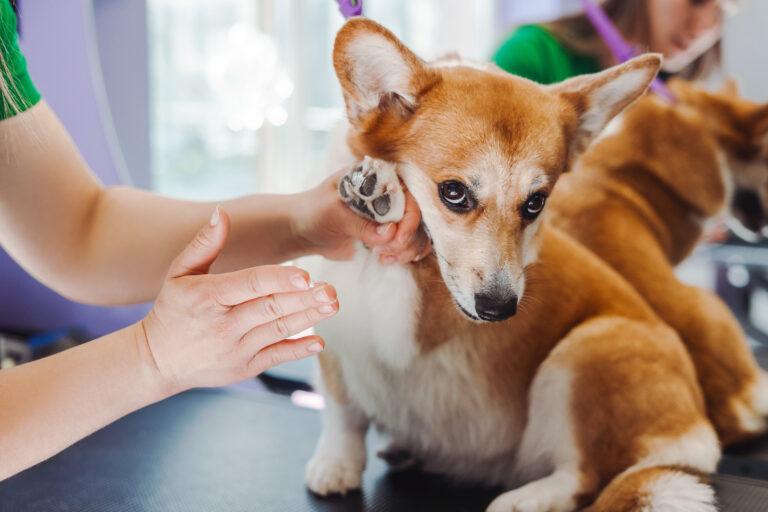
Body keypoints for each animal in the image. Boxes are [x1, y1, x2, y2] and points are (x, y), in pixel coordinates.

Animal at [304, 18, 724, 510]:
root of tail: (695, 433)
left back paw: (523, 499)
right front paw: (337, 465)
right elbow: (342, 412)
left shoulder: (411, 320)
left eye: (536, 202)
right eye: (453, 192)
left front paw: (385, 195)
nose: (499, 310)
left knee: (584, 477)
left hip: (585, 349)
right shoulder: (336, 335)